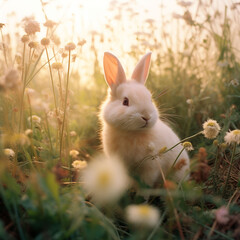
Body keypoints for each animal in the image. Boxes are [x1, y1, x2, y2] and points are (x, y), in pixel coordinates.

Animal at [99, 52, 189, 188]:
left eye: (150, 99)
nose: (146, 117)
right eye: (125, 101)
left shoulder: (151, 166)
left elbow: (147, 180)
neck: (132, 132)